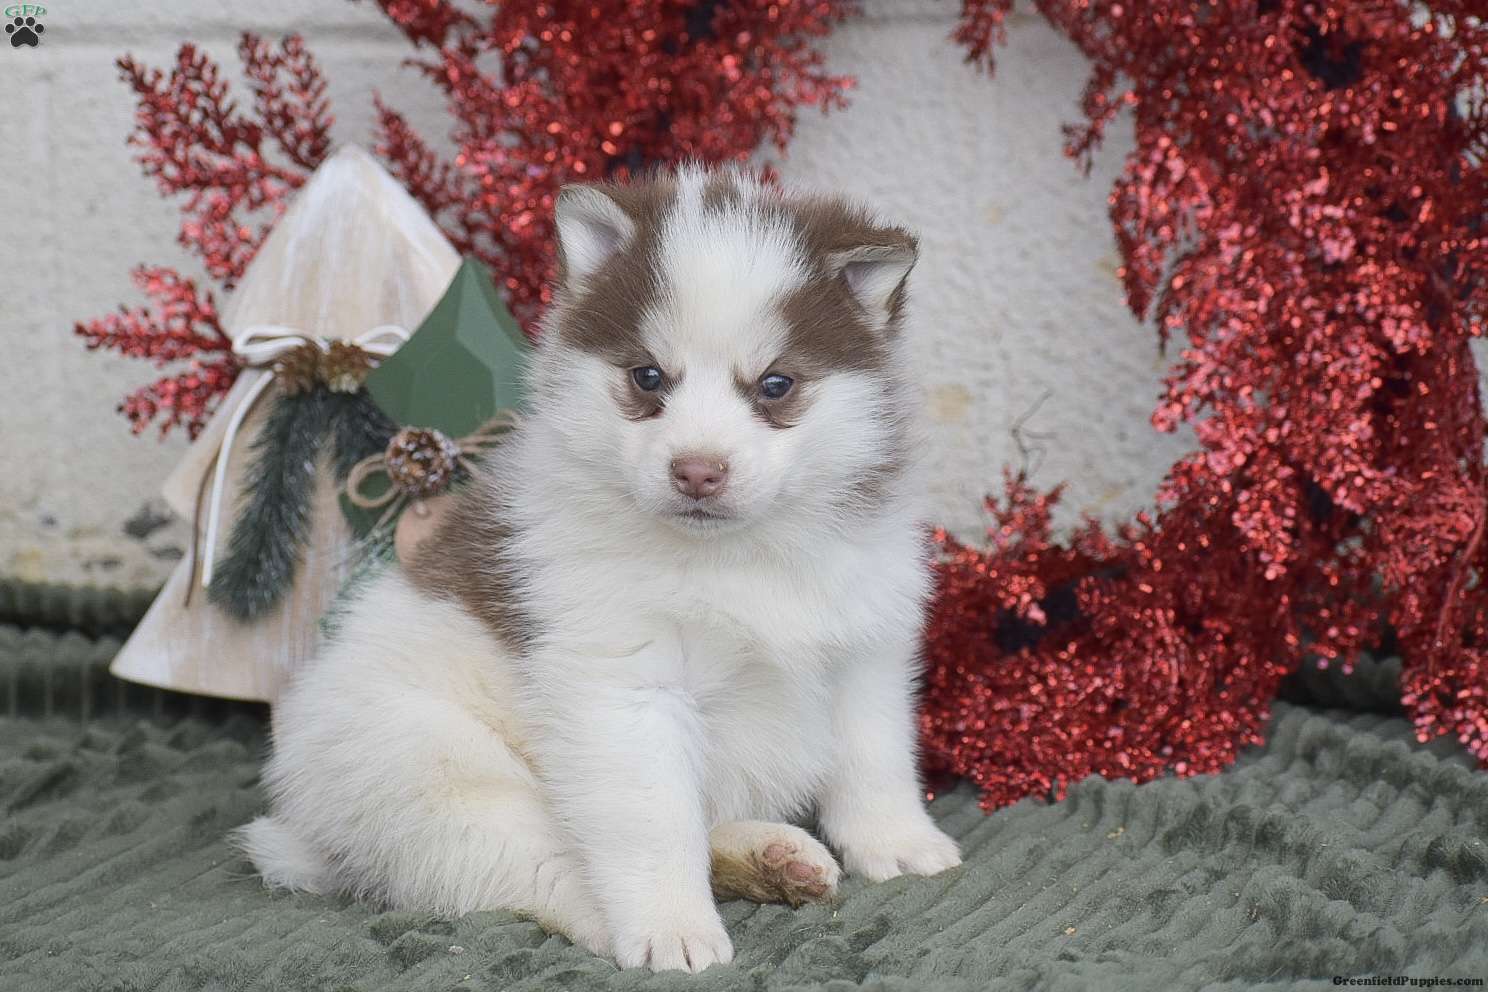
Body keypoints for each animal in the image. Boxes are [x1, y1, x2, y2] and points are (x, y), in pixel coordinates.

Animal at [238, 164, 961, 973]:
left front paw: (898, 843)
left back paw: (769, 857)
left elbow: (875, 757)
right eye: (648, 378)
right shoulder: (625, 692)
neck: (738, 554)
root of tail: (306, 830)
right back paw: (628, 915)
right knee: (545, 867)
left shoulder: (865, 648)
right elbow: (653, 826)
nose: (697, 471)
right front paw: (670, 927)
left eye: (776, 385)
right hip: (438, 774)